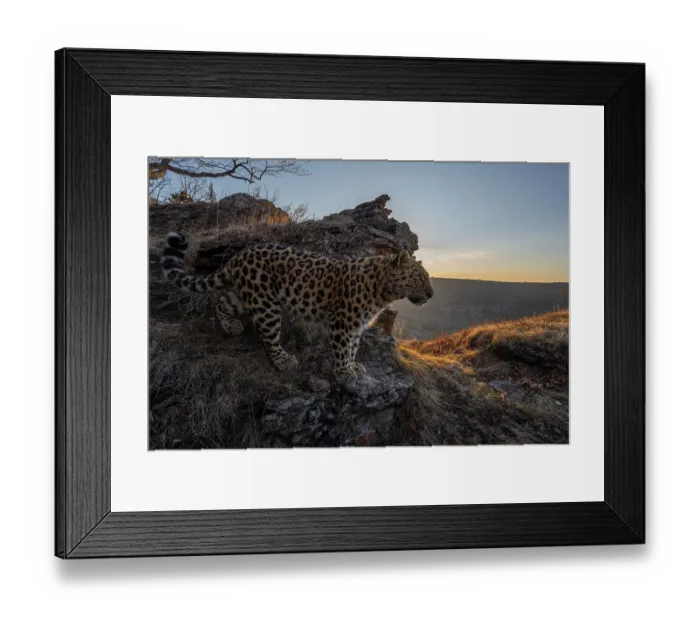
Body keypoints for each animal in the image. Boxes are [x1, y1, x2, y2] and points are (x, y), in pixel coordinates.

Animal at [161, 232, 434, 378]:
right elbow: (343, 348)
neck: (382, 291)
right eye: (420, 277)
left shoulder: (356, 325)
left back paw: (231, 327)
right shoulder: (342, 323)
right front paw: (344, 372)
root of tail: (238, 256)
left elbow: (354, 347)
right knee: (269, 336)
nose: (431, 294)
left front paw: (353, 365)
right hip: (266, 303)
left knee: (221, 302)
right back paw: (284, 361)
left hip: (242, 296)